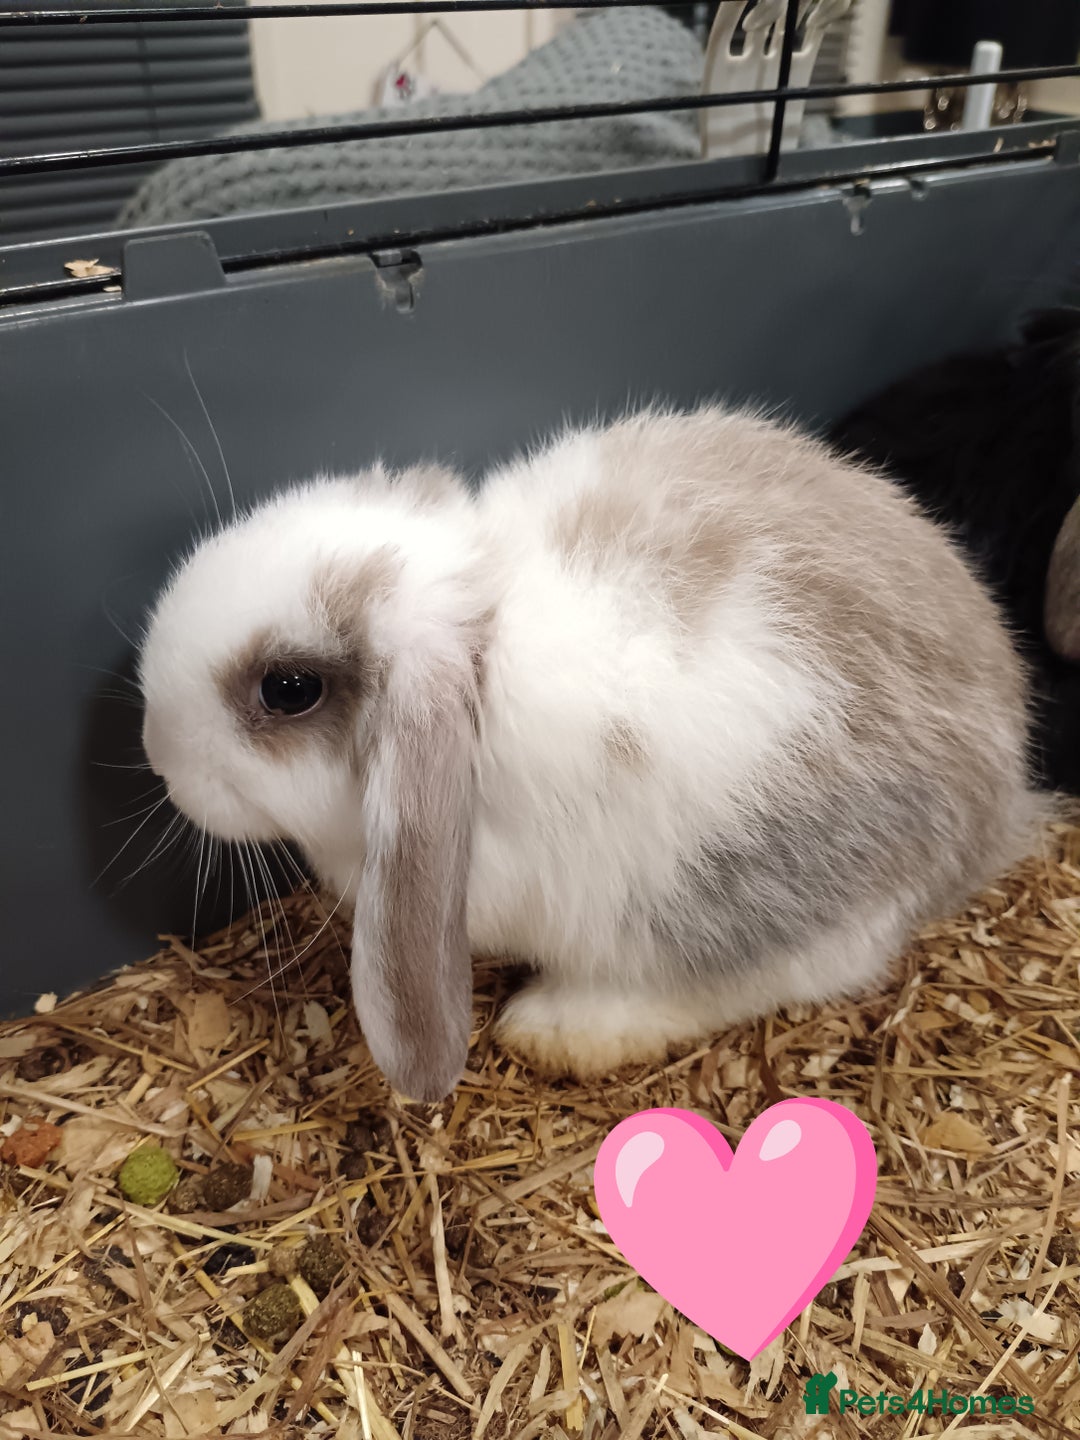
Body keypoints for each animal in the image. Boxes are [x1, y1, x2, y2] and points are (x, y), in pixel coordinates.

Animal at [137, 406, 1042, 1104]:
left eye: (288, 688)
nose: (156, 753)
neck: (484, 648)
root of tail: (1002, 799)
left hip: (759, 907)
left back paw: (558, 1026)